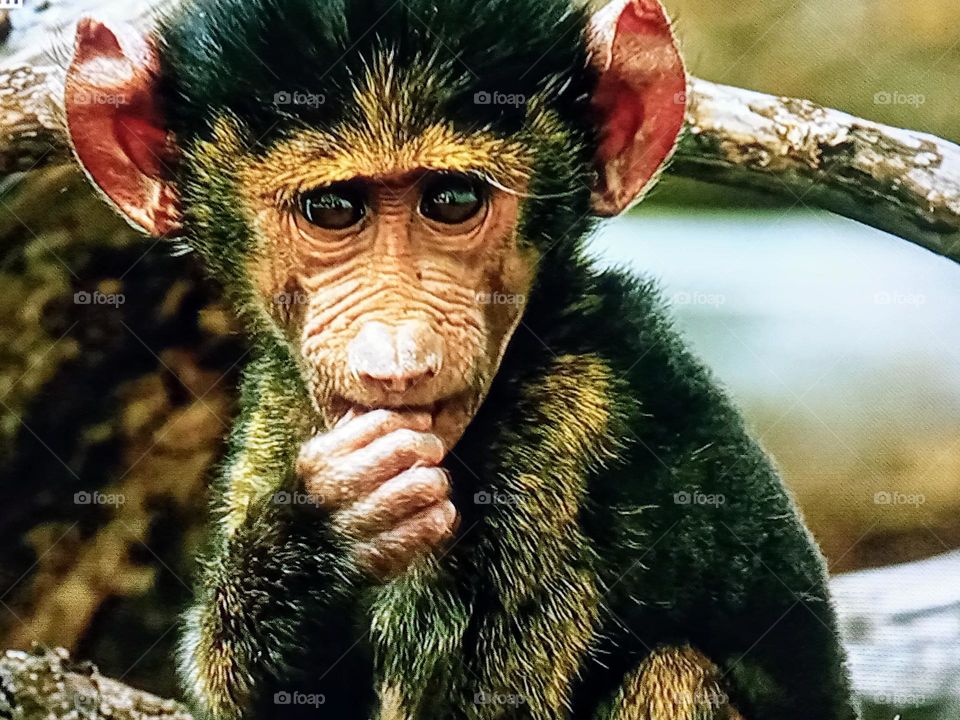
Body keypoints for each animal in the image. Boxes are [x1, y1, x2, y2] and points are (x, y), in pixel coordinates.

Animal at [61, 0, 861, 718]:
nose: (398, 358)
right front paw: (317, 539)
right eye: (332, 210)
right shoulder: (277, 412)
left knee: (674, 672)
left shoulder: (564, 433)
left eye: (451, 201)